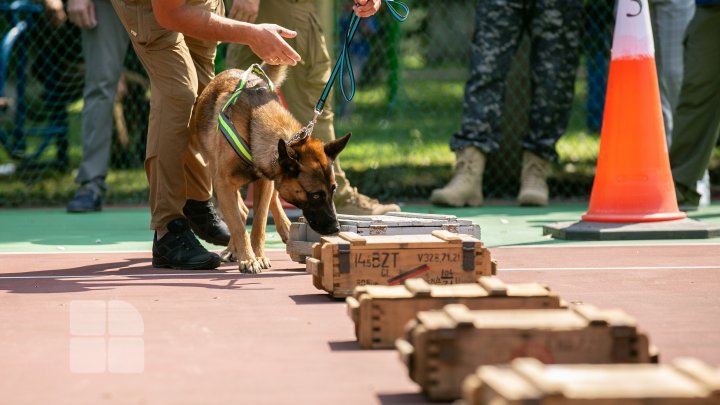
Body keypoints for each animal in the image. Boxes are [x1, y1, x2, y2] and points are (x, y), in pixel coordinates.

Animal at [190, 64, 350, 274]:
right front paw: (248, 259)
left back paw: (284, 228)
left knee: (257, 206)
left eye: (333, 190)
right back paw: (234, 249)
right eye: (315, 195)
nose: (336, 229)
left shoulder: (265, 182)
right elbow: (239, 226)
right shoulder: (224, 183)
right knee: (240, 213)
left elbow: (259, 224)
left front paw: (257, 256)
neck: (254, 124)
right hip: (218, 180)